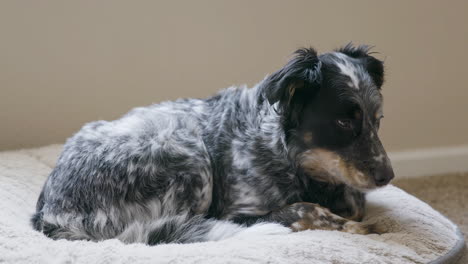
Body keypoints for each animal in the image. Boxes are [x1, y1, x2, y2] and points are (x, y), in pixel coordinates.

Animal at [31, 43, 394, 243]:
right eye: (343, 122)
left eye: (378, 119)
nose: (387, 176)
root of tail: (50, 212)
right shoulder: (235, 211)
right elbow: (307, 208)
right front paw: (362, 228)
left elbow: (352, 202)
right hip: (186, 152)